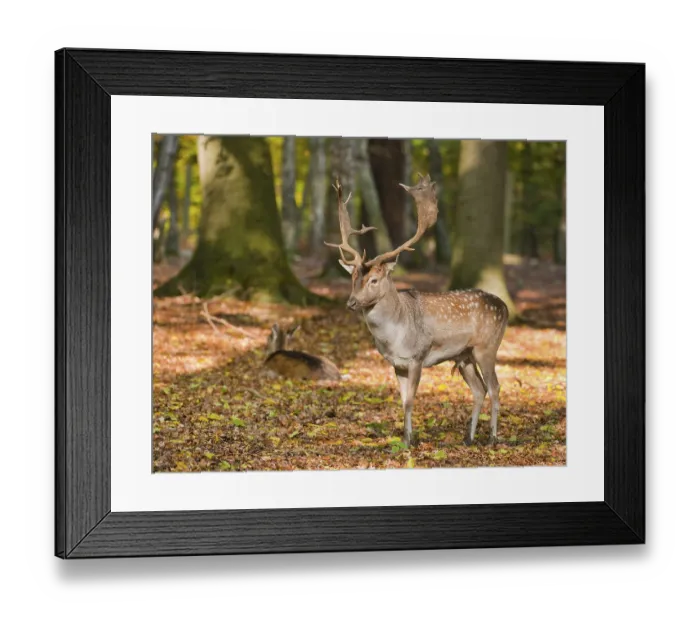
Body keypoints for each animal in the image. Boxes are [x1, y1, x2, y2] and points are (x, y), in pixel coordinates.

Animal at [325, 174, 508, 447]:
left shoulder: (417, 357)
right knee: (479, 389)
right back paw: (468, 437)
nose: (352, 303)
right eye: (353, 278)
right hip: (463, 355)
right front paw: (405, 438)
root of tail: (505, 307)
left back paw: (492, 438)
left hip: (487, 347)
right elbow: (402, 401)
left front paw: (409, 442)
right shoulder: (396, 364)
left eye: (374, 280)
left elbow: (411, 400)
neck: (394, 337)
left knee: (495, 387)